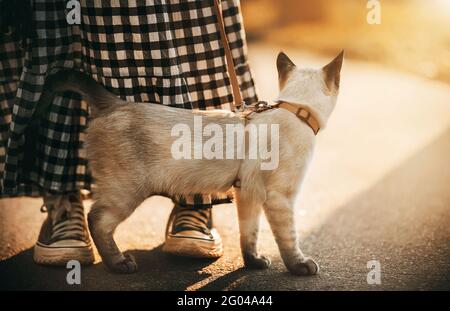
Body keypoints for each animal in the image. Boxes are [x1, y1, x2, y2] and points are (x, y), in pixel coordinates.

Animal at [37, 51, 342, 276]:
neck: (297, 111)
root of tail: (116, 103)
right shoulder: (280, 198)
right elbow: (290, 239)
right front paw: (300, 267)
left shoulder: (248, 195)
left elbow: (249, 235)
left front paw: (254, 262)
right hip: (126, 192)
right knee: (97, 220)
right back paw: (119, 264)